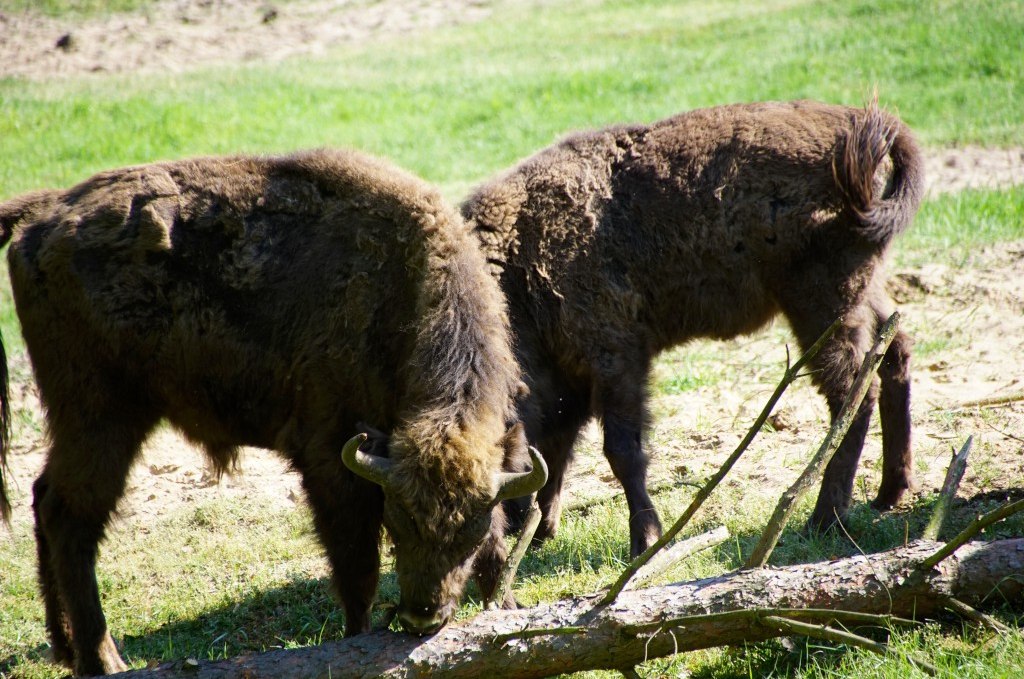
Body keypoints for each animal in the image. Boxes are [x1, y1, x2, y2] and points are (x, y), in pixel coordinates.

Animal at [0, 147, 548, 675]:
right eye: (399, 523)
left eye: (468, 534)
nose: (422, 617)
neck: (401, 292)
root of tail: (43, 216)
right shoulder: (331, 466)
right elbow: (357, 570)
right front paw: (355, 640)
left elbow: (495, 553)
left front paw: (509, 613)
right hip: (102, 419)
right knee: (71, 517)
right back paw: (104, 661)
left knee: (45, 500)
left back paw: (65, 650)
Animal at [460, 99, 925, 557]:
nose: (502, 525)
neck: (519, 270)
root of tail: (860, 123)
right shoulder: (575, 380)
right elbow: (559, 454)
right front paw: (542, 534)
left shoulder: (615, 359)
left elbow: (621, 451)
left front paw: (644, 542)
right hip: (863, 293)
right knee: (894, 354)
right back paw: (888, 494)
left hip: (822, 306)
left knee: (853, 395)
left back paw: (824, 520)